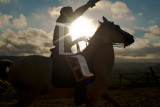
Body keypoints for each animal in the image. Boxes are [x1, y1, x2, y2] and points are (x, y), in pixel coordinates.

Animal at [0, 16, 134, 106]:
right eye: (117, 27)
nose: (131, 37)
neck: (97, 65)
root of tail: (13, 64)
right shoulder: (92, 98)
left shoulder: (101, 93)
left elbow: (116, 103)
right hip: (28, 96)